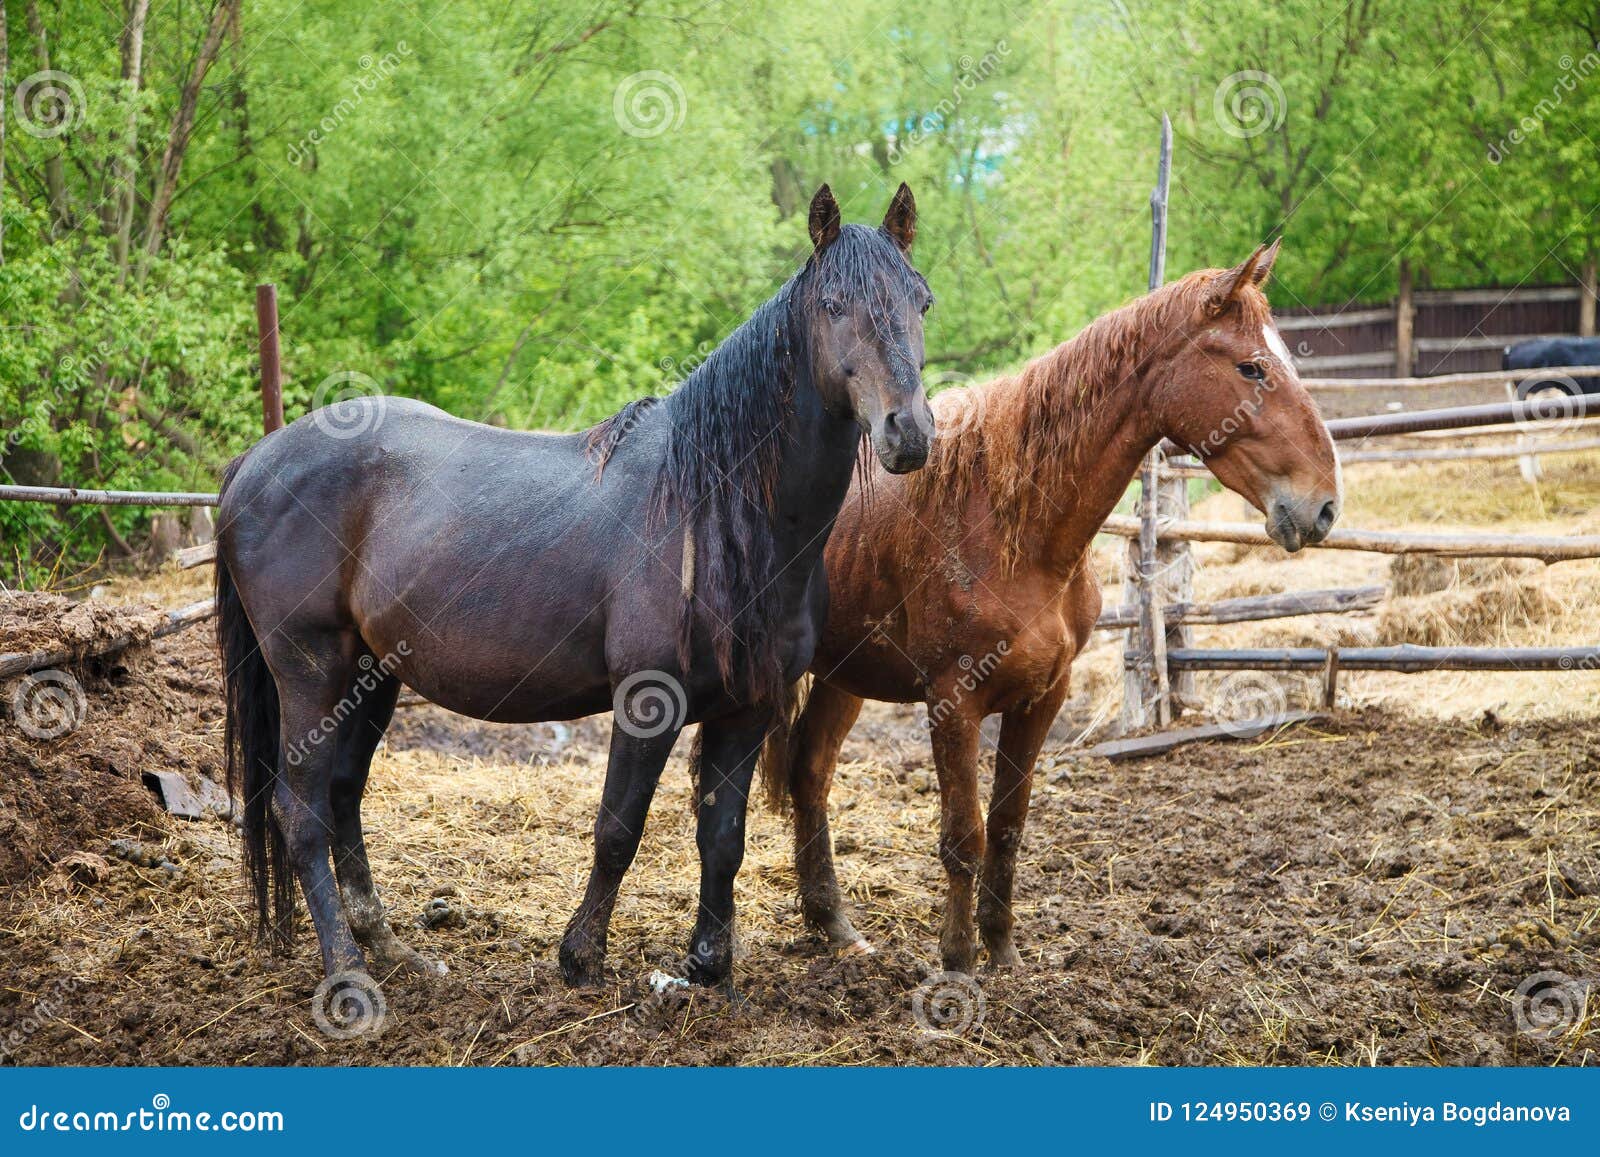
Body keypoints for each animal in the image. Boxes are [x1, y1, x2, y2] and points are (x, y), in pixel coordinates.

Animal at [214, 184, 936, 1012]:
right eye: (834, 303)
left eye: (922, 300)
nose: (909, 432)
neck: (717, 512)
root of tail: (254, 461)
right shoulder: (647, 701)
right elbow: (618, 827)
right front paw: (581, 956)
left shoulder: (747, 708)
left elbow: (723, 838)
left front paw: (709, 968)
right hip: (310, 669)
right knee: (299, 814)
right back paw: (349, 974)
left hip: (373, 676)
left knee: (341, 797)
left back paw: (396, 952)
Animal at [774, 241, 1342, 975]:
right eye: (1251, 366)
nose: (1323, 503)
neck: (1006, 518)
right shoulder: (953, 701)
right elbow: (963, 835)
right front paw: (958, 962)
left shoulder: (1043, 697)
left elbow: (1007, 828)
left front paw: (1003, 952)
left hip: (845, 674)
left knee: (809, 769)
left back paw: (835, 925)